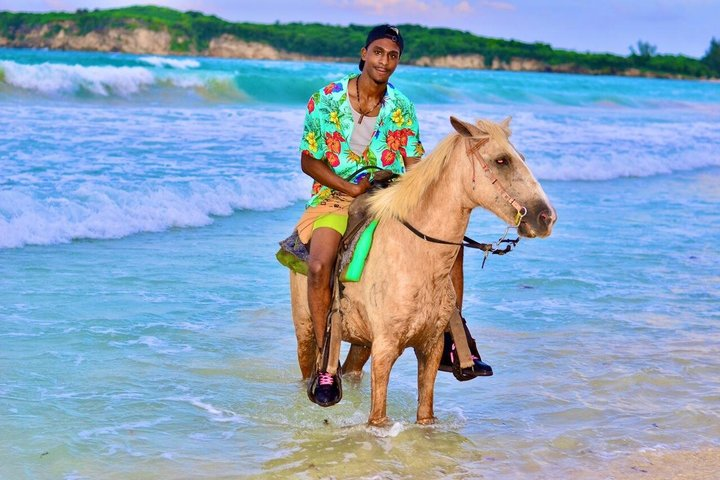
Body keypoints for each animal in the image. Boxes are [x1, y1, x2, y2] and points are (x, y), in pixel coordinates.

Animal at [289, 116, 556, 426]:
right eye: (502, 160)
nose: (546, 217)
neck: (414, 257)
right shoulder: (384, 351)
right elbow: (377, 418)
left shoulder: (430, 347)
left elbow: (425, 415)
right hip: (306, 330)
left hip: (361, 343)